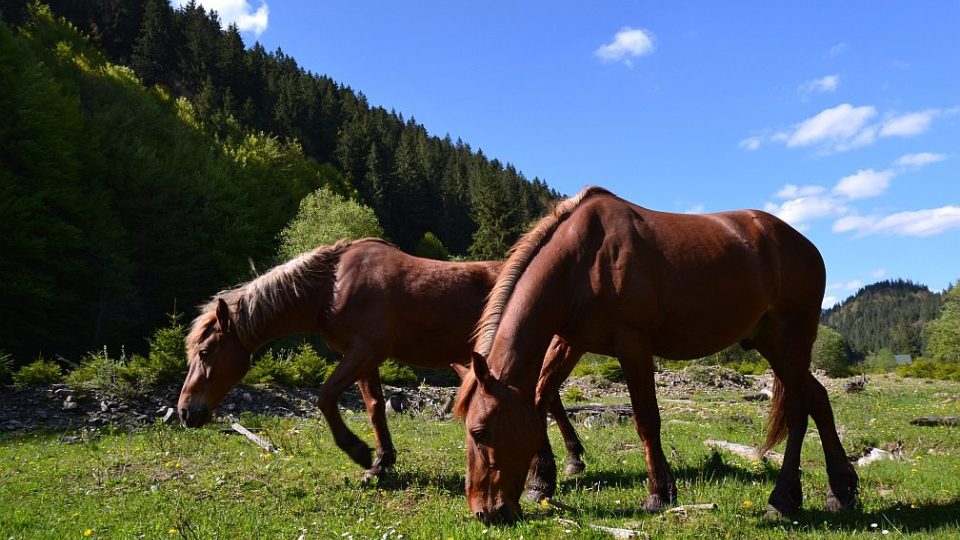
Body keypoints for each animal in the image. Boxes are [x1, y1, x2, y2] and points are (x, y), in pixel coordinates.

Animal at [178, 238, 584, 488]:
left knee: (546, 397)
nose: (185, 411)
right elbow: (375, 407)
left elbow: (325, 396)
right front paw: (381, 462)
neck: (332, 286)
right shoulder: (364, 357)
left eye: (205, 352)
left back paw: (565, 461)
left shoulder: (363, 351)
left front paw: (359, 451)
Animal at [454, 186, 860, 524]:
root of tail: (803, 244)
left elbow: (646, 419)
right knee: (816, 398)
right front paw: (542, 482)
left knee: (798, 410)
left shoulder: (632, 344)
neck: (585, 260)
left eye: (480, 431)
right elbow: (540, 398)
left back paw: (783, 500)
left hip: (791, 339)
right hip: (772, 344)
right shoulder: (570, 342)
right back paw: (840, 491)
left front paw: (659, 494)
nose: (484, 511)